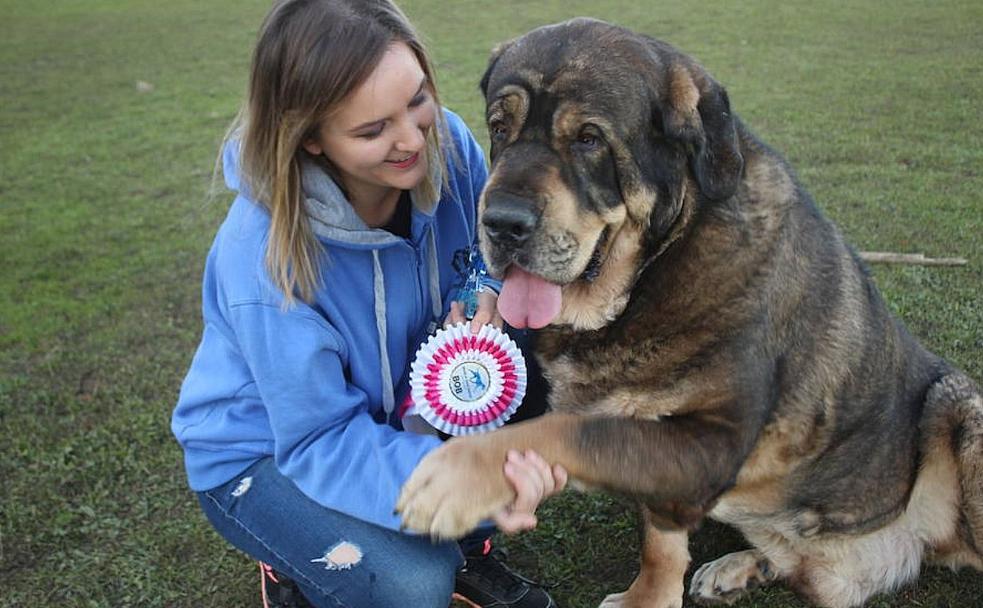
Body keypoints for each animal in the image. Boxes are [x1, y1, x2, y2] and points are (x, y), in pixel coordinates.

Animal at [396, 19, 980, 608]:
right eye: (499, 128)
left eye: (588, 139)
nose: (500, 223)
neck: (652, 274)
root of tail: (897, 553)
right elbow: (659, 539)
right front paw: (649, 595)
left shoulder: (713, 441)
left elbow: (572, 431)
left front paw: (457, 477)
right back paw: (744, 568)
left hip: (960, 410)